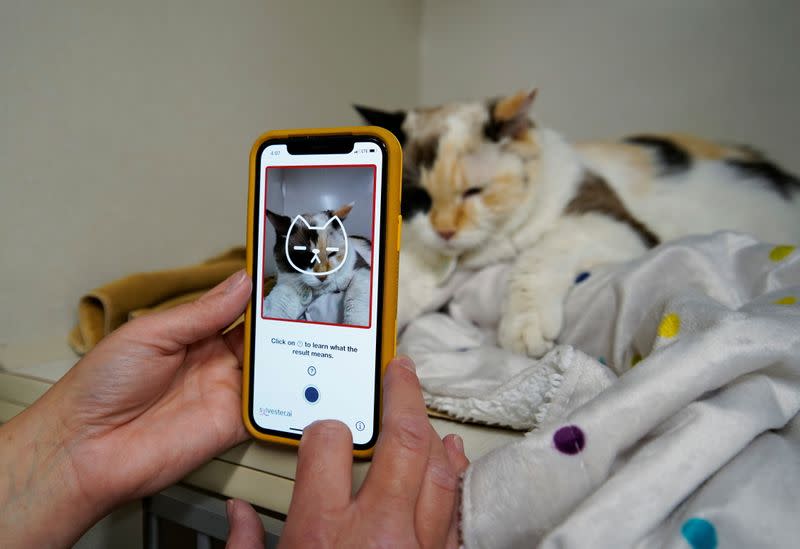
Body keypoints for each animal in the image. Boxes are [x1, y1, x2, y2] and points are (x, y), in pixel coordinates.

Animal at [356, 89, 800, 356]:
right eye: (419, 197)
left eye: (474, 192)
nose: (445, 230)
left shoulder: (614, 223)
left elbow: (541, 252)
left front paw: (525, 325)